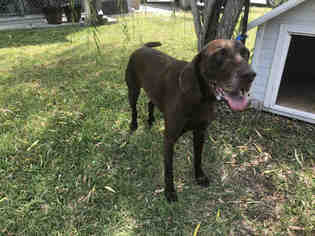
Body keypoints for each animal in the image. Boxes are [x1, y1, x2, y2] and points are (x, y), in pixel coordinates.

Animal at [125, 39, 256, 201]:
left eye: (246, 53)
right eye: (220, 54)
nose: (250, 75)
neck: (199, 99)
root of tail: (141, 48)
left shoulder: (200, 132)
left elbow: (198, 158)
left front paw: (199, 177)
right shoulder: (169, 139)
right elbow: (169, 170)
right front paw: (170, 192)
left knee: (150, 103)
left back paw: (150, 121)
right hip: (133, 90)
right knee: (134, 109)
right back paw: (134, 125)